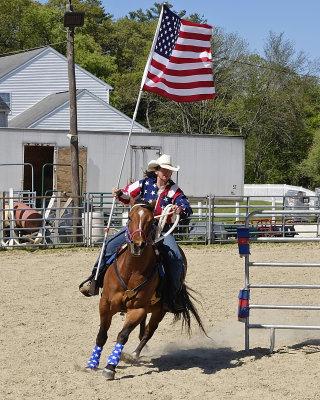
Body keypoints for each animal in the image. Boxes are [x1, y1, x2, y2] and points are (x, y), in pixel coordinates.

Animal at [85, 198, 205, 380]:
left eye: (151, 221)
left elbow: (123, 335)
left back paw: (134, 354)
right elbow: (101, 335)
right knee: (143, 331)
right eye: (129, 218)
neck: (132, 271)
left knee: (148, 332)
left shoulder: (138, 309)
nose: (138, 245)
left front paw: (110, 367)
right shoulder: (105, 304)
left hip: (159, 310)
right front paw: (92, 364)